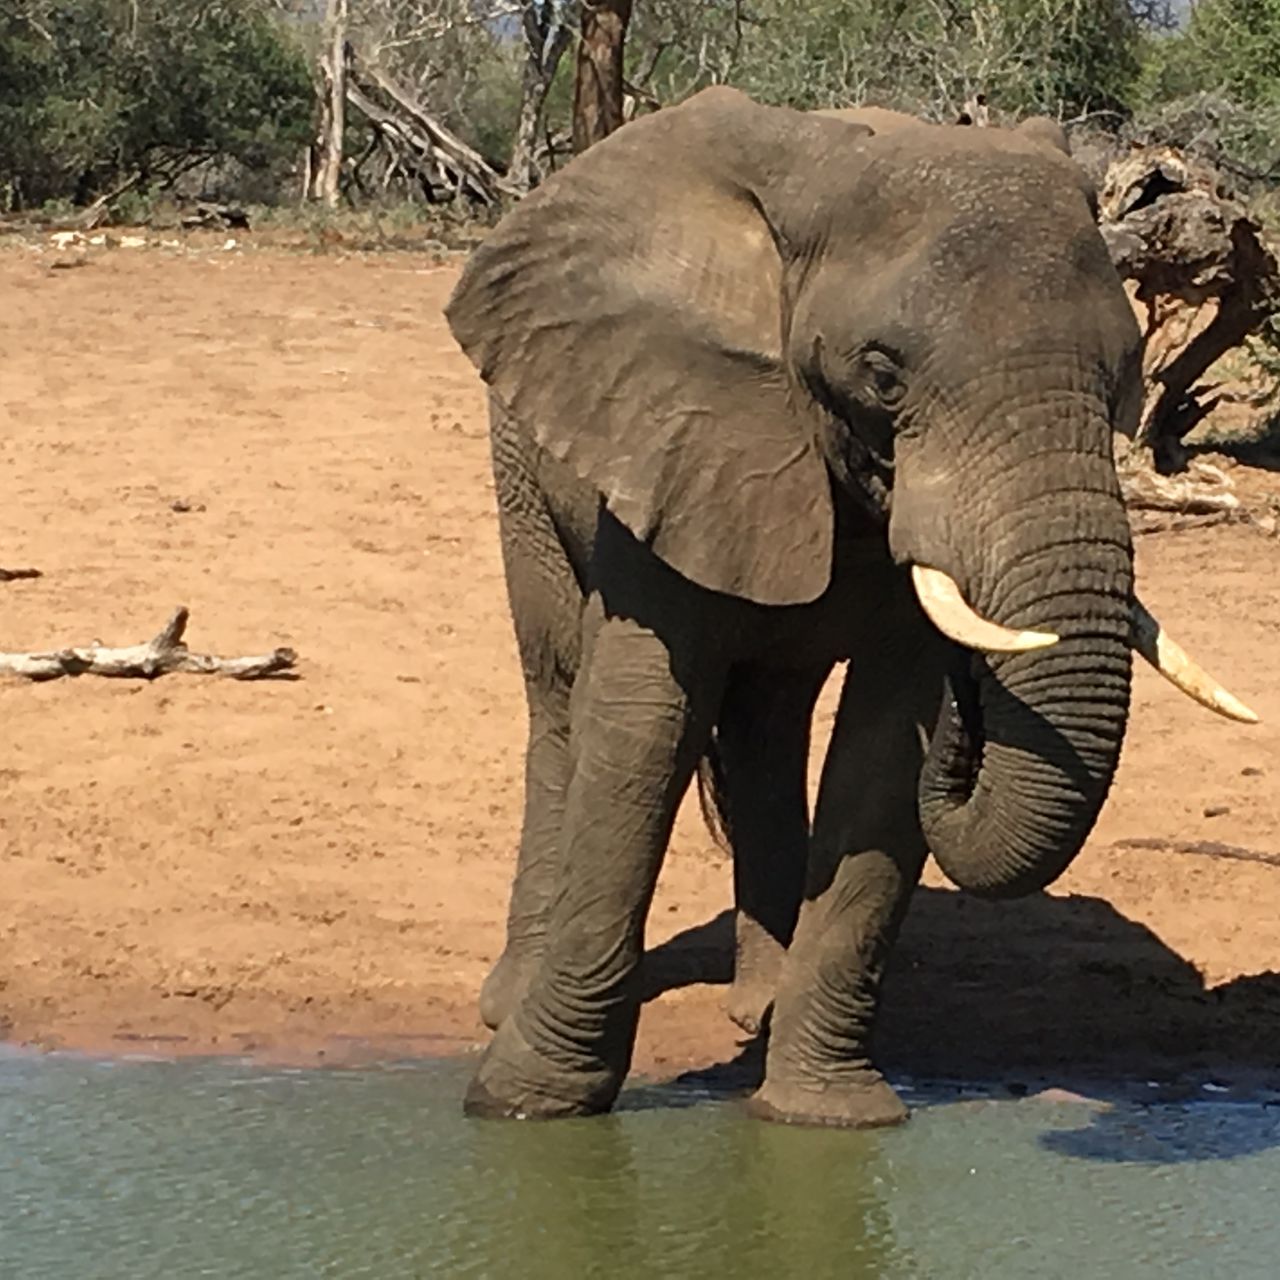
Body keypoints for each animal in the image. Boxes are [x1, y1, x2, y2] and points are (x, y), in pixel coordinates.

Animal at [445, 86, 1255, 1128]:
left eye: (1122, 374)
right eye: (882, 373)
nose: (975, 701)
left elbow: (882, 751)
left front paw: (825, 1118)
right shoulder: (676, 426)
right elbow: (641, 726)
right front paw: (527, 1107)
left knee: (767, 719)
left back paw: (758, 1005)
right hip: (526, 455)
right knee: (559, 697)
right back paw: (512, 1000)